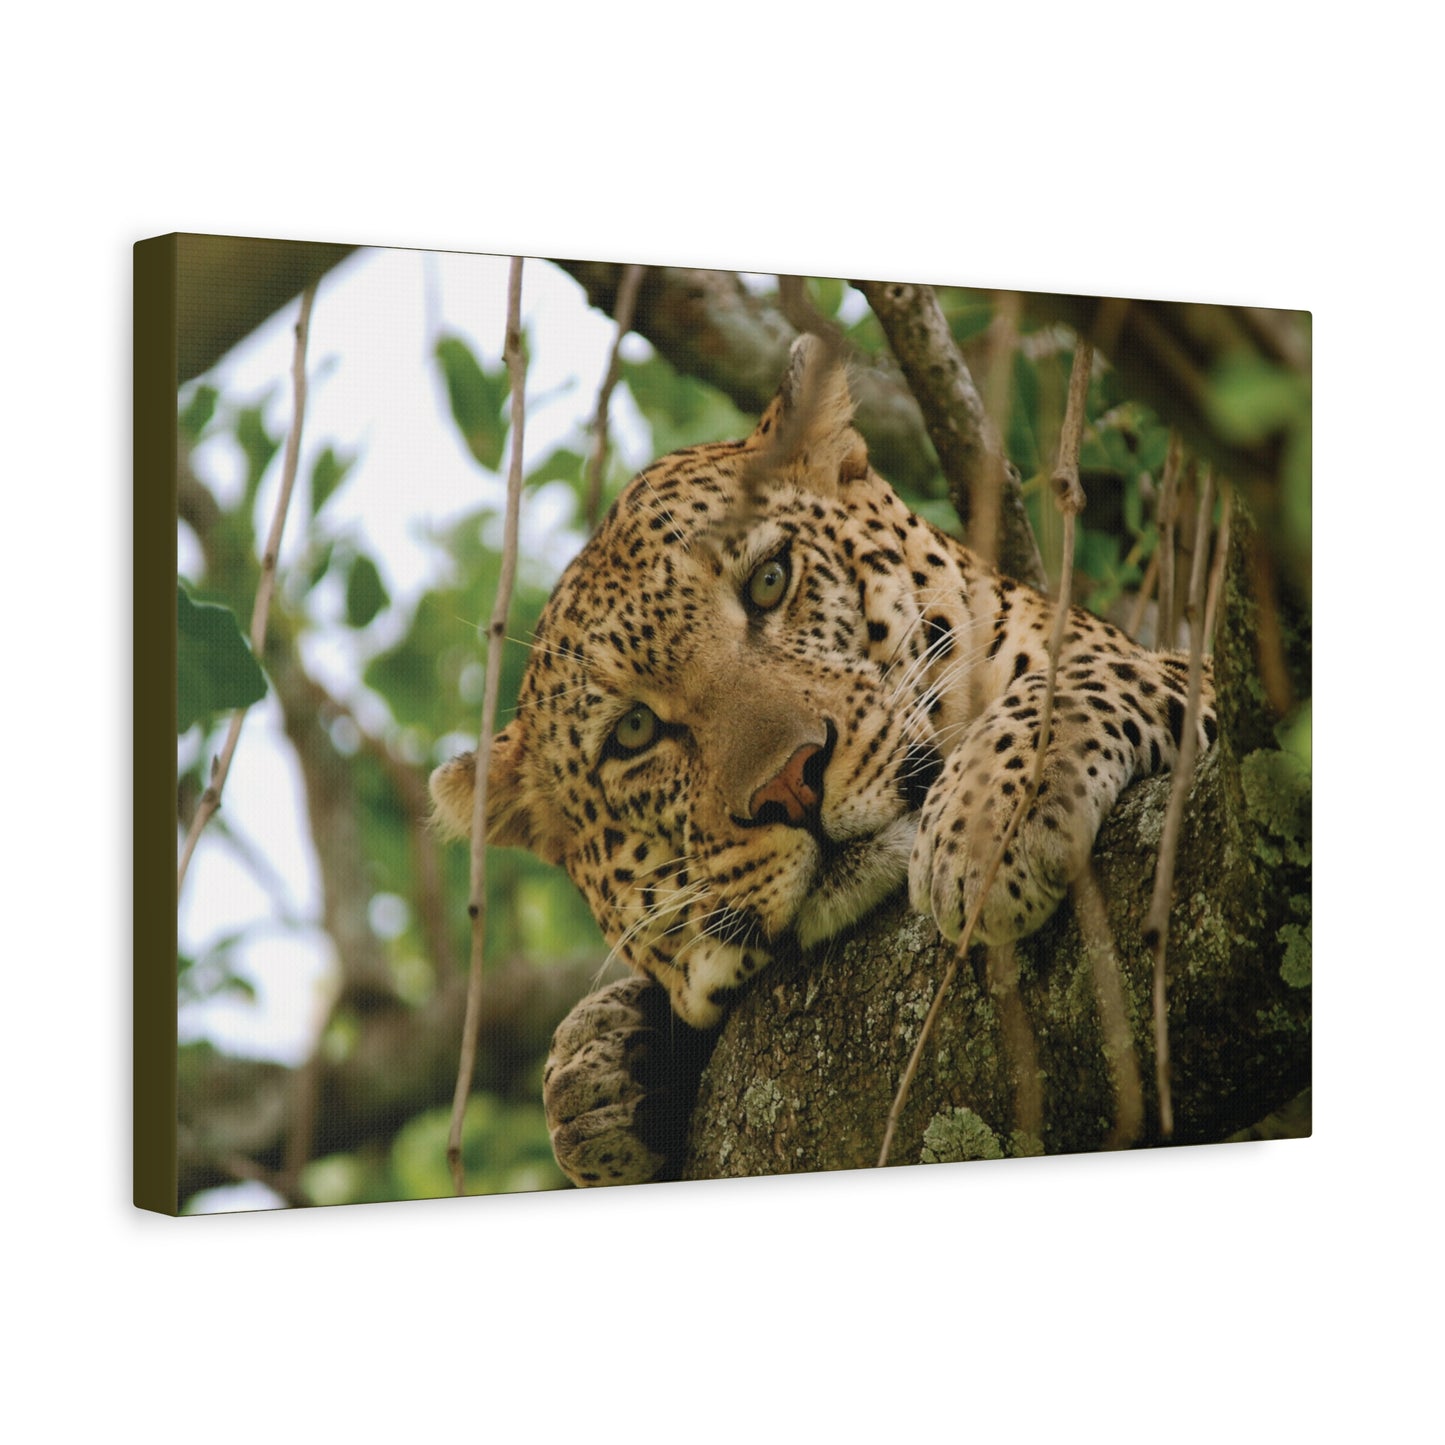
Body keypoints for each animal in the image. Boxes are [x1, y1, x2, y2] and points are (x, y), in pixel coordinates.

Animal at [430, 335, 1217, 1187]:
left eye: (770, 581)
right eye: (634, 731)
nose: (789, 782)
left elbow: (1086, 673)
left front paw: (984, 823)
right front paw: (603, 1072)